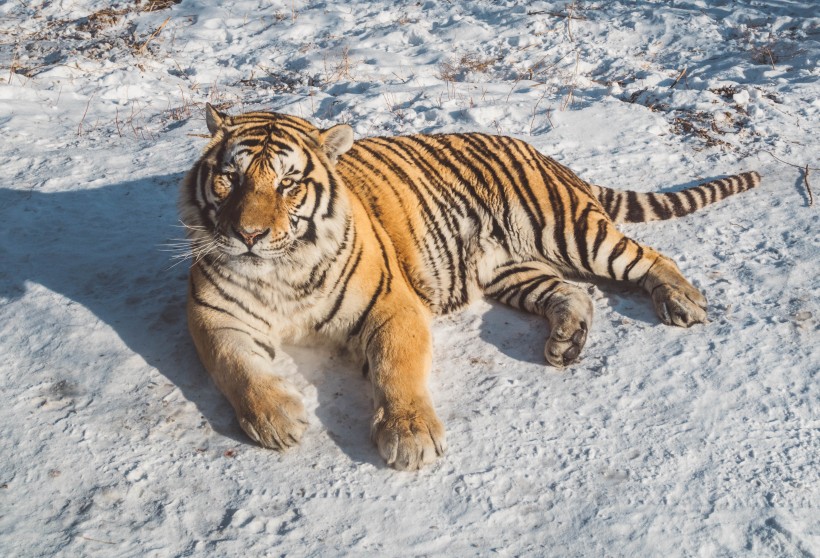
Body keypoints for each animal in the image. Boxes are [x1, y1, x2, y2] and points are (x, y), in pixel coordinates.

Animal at [179, 105, 764, 472]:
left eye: (289, 184)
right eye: (230, 179)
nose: (248, 235)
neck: (280, 272)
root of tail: (544, 155)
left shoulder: (391, 305)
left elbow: (396, 367)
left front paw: (410, 437)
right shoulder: (214, 315)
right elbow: (237, 367)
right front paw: (277, 420)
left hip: (573, 231)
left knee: (650, 257)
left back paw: (683, 301)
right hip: (511, 269)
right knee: (571, 293)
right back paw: (566, 341)